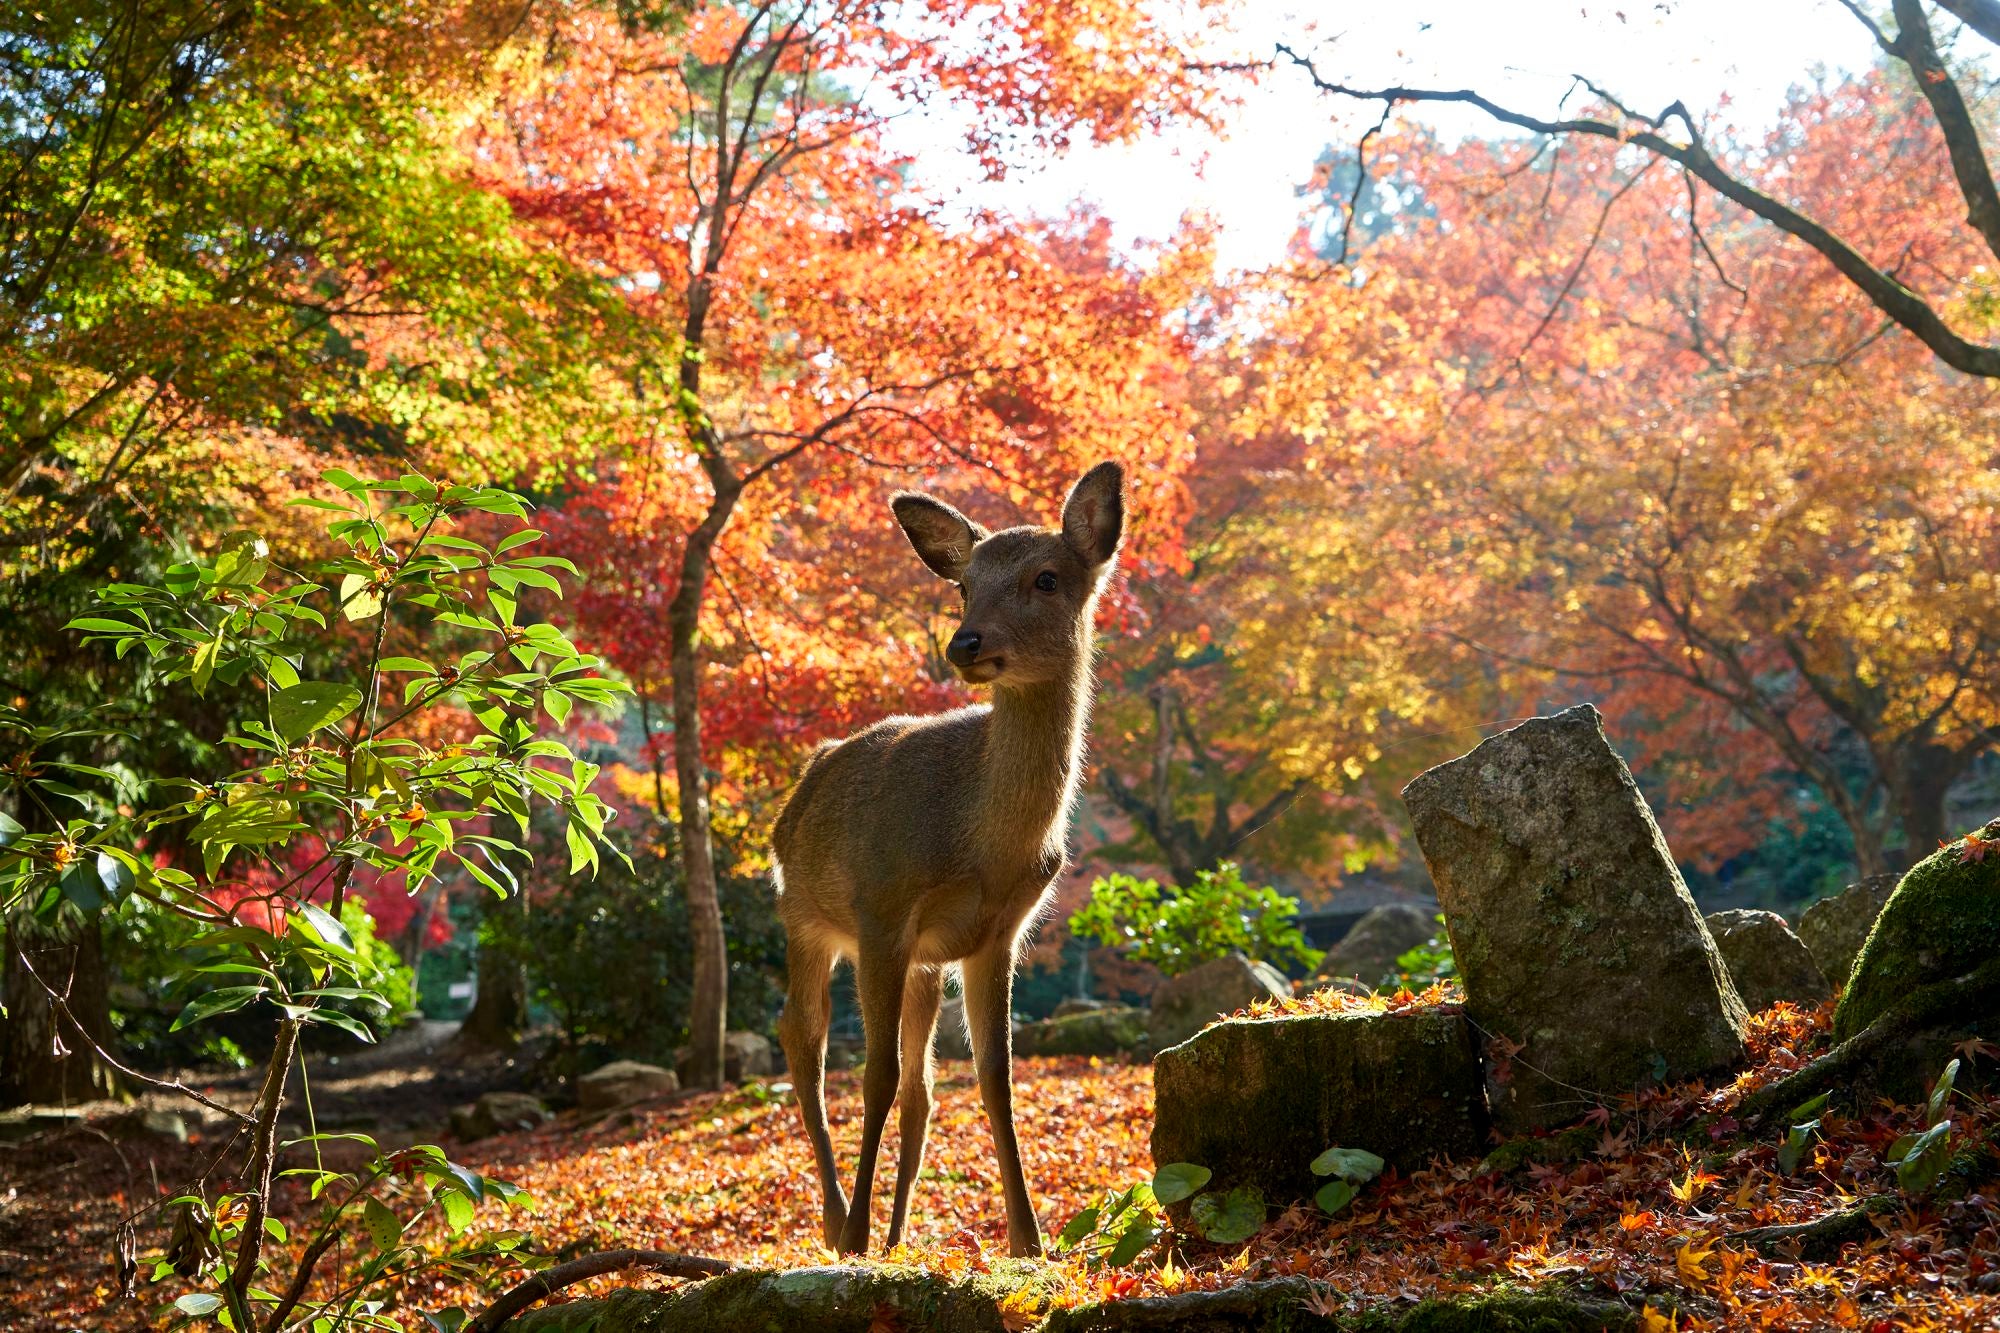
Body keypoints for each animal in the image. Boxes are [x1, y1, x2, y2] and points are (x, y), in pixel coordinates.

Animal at [772, 460, 1136, 1256]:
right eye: (965, 585)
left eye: (1046, 578)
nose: (964, 643)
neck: (986, 846)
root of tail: (806, 779)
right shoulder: (881, 909)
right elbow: (873, 1075)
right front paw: (854, 1233)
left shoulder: (996, 934)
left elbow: (993, 1077)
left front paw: (1030, 1239)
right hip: (803, 916)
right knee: (804, 1043)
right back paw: (836, 1219)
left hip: (921, 964)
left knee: (921, 1090)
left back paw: (897, 1235)